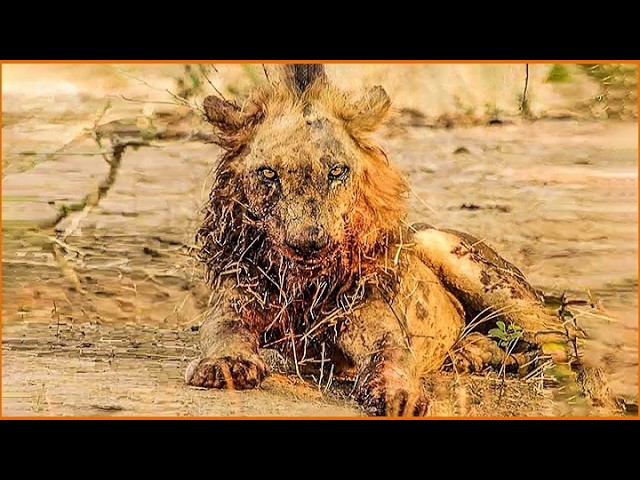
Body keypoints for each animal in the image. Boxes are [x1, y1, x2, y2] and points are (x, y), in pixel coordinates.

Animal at [185, 64, 596, 416]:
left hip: (454, 255)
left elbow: (393, 356)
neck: (304, 284)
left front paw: (399, 394)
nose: (310, 244)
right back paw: (467, 353)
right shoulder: (232, 304)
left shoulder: (379, 324)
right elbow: (222, 332)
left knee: (559, 343)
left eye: (337, 171)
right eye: (269, 174)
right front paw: (224, 365)